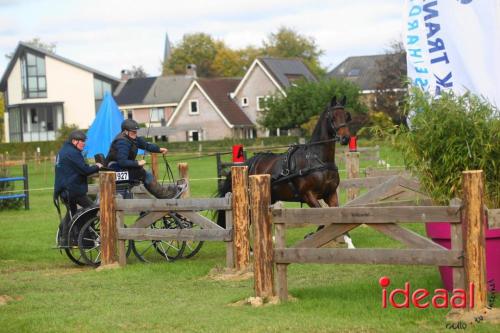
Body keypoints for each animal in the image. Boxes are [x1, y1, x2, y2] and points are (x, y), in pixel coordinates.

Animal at [217, 94, 354, 245]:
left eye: (347, 116)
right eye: (333, 117)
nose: (345, 138)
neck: (317, 159)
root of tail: (250, 163)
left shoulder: (331, 194)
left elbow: (336, 218)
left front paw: (350, 244)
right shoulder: (308, 195)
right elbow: (324, 220)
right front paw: (310, 235)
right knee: (245, 222)